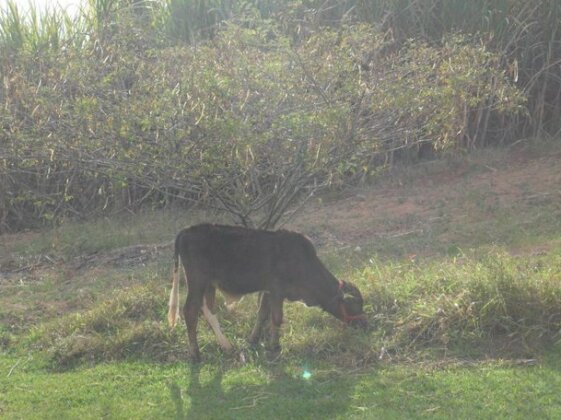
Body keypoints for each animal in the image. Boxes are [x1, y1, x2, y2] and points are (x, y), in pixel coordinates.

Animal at [167, 223, 368, 360]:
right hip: (197, 282)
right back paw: (195, 354)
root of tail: (186, 230)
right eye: (354, 305)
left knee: (208, 311)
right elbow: (276, 318)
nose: (365, 324)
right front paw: (275, 346)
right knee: (190, 311)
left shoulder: (268, 290)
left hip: (209, 286)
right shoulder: (277, 290)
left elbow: (262, 314)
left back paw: (226, 346)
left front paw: (254, 340)